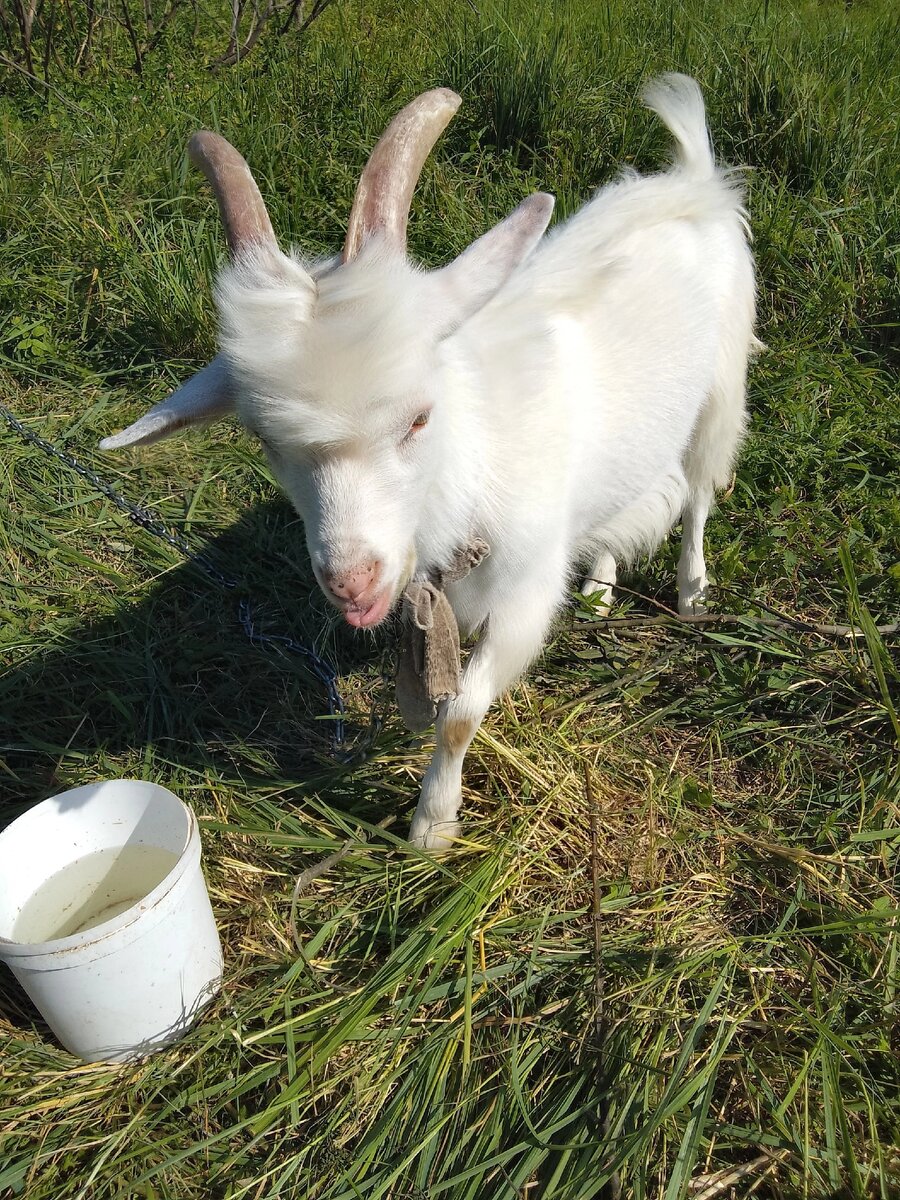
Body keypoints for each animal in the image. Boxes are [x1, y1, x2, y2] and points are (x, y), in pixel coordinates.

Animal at [102, 77, 758, 844]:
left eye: (419, 417)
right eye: (265, 440)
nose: (352, 582)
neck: (475, 464)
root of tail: (692, 181)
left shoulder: (523, 594)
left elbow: (460, 715)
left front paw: (432, 826)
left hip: (722, 389)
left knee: (698, 494)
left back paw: (691, 592)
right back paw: (599, 587)